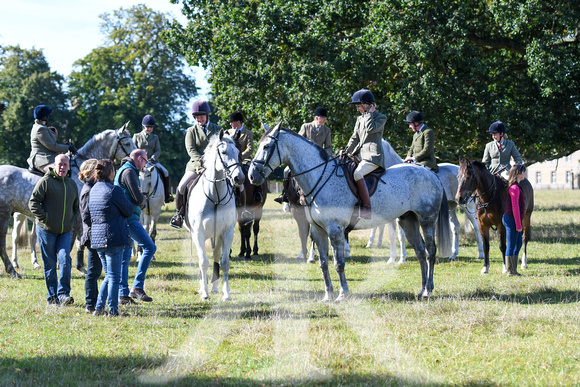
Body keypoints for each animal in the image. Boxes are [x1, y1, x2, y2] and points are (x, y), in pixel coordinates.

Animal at [0, 123, 136, 278]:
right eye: (127, 143)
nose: (135, 160)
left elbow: (79, 241)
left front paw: (79, 266)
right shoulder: (77, 216)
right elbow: (74, 241)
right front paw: (68, 265)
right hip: (6, 214)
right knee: (5, 241)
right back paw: (12, 269)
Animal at [186, 132, 245, 302]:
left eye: (238, 153)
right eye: (223, 152)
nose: (239, 178)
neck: (215, 196)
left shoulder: (227, 232)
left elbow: (224, 263)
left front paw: (227, 294)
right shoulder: (198, 233)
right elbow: (203, 262)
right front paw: (204, 293)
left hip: (217, 237)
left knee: (216, 257)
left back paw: (214, 287)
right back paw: (204, 288)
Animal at [249, 126, 454, 302]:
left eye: (266, 146)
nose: (252, 176)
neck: (320, 178)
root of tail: (430, 173)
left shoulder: (335, 231)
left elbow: (338, 263)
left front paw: (342, 294)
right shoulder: (318, 230)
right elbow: (323, 264)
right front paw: (328, 295)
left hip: (427, 220)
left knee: (430, 252)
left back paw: (428, 290)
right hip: (408, 220)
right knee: (420, 252)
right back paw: (421, 290)